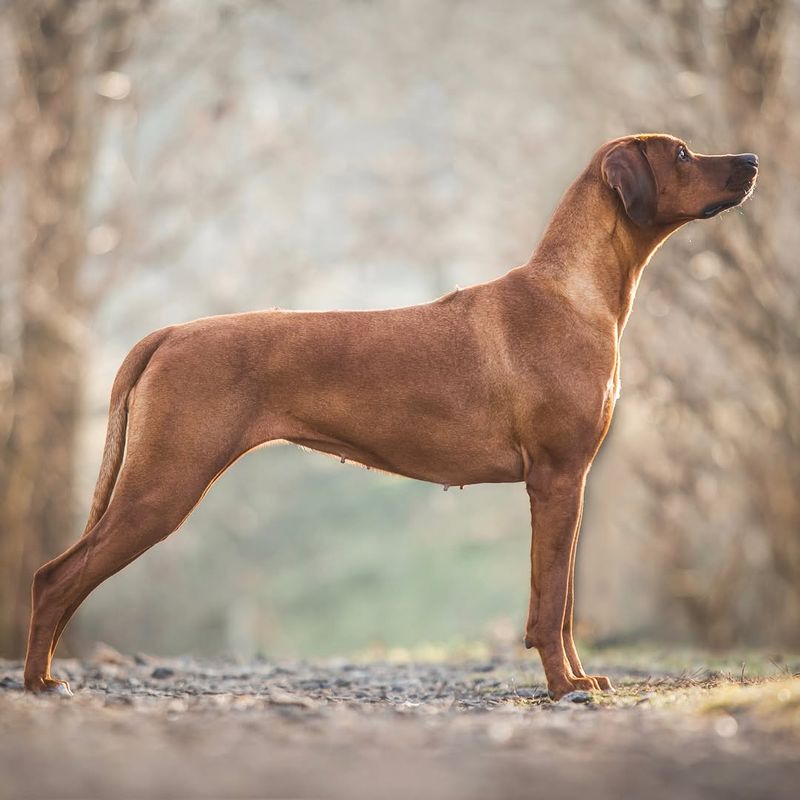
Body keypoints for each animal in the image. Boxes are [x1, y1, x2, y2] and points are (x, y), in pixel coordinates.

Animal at [23, 134, 756, 696]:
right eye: (682, 153)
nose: (750, 159)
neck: (572, 290)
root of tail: (169, 331)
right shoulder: (556, 479)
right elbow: (551, 606)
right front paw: (562, 688)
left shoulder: (567, 484)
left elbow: (564, 603)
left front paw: (578, 679)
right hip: (163, 486)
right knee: (54, 577)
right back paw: (37, 683)